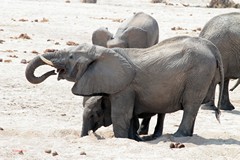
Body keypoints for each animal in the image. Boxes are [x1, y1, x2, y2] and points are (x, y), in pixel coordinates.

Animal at [25, 35, 223, 141]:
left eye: (71, 57)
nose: (53, 71)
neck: (102, 52)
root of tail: (211, 47)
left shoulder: (124, 87)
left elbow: (120, 115)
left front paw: (121, 139)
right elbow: (130, 115)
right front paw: (133, 139)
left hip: (198, 75)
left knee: (190, 106)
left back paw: (177, 136)